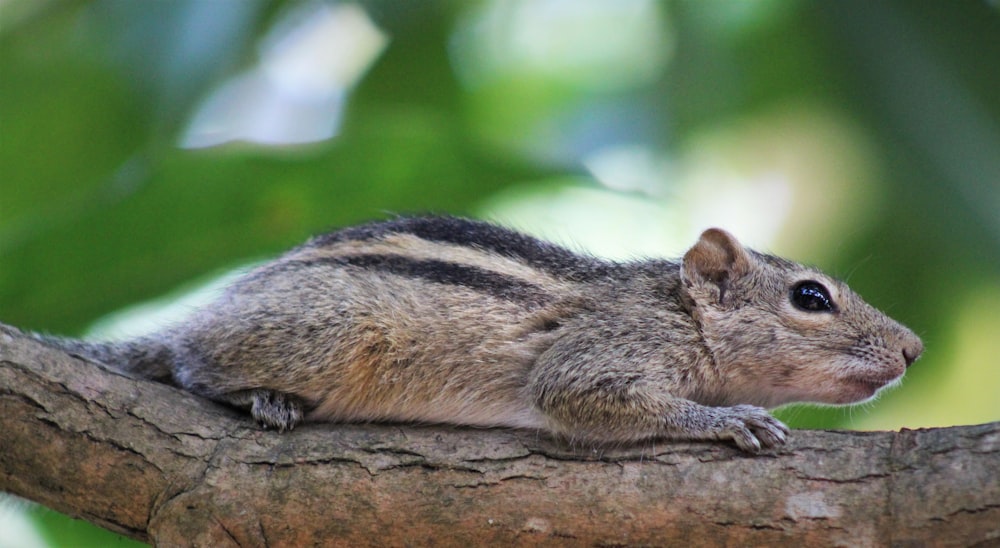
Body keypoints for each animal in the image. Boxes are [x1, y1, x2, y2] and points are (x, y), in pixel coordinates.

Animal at [29, 216, 920, 452]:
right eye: (811, 297)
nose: (913, 349)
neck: (675, 312)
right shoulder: (605, 352)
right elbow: (583, 397)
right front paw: (728, 419)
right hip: (326, 335)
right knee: (190, 363)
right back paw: (261, 397)